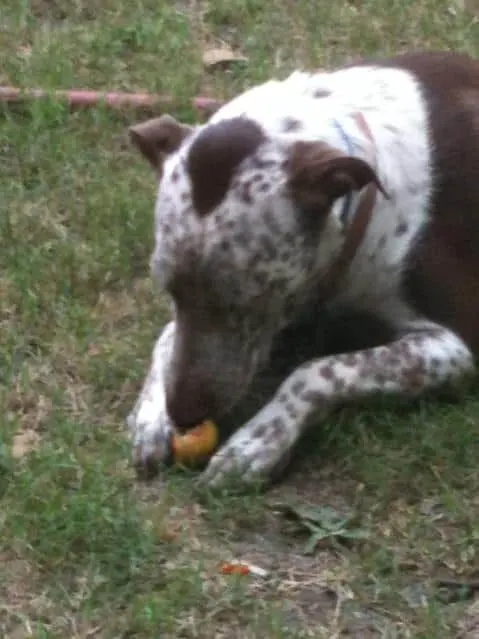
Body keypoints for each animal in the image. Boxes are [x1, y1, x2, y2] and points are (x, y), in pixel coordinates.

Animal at [126, 50, 479, 488]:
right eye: (168, 287)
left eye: (251, 295)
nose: (183, 415)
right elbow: (165, 337)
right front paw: (149, 416)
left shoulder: (455, 346)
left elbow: (317, 371)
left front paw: (259, 440)